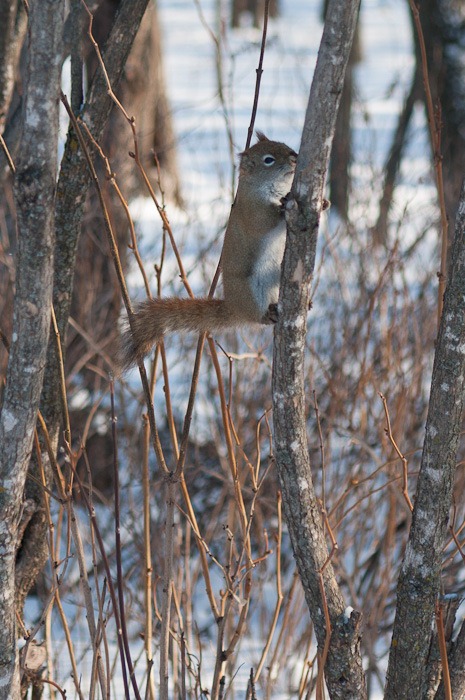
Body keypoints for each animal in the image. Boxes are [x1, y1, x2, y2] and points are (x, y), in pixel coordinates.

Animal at [120, 132, 298, 369]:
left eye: (284, 144)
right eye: (268, 160)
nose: (295, 157)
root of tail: (234, 307)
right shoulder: (252, 213)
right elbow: (266, 222)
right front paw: (285, 206)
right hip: (250, 294)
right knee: (256, 317)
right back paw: (267, 315)